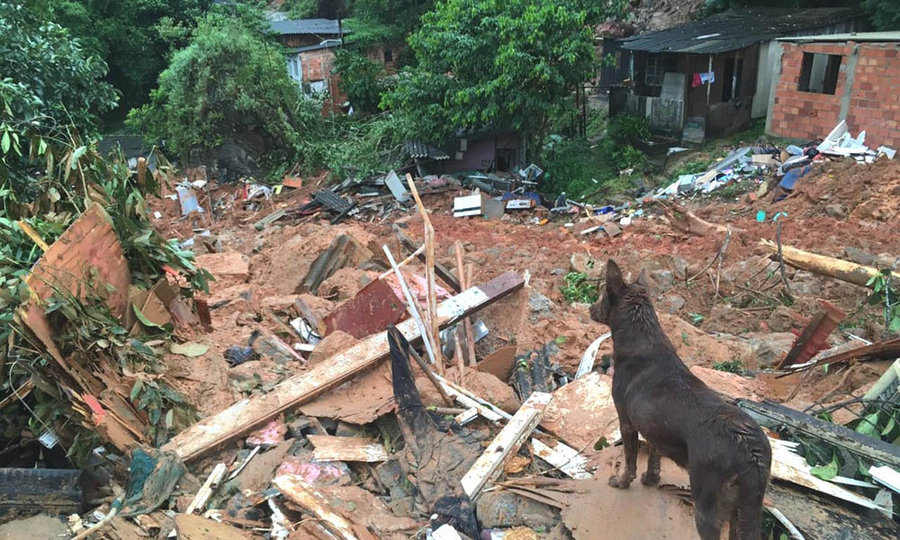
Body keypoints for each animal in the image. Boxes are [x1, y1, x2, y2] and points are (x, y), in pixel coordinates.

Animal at [592, 260, 772, 536]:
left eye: (602, 295)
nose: (589, 308)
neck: (642, 340)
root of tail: (751, 453)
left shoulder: (627, 422)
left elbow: (630, 461)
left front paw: (622, 481)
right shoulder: (653, 427)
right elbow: (654, 457)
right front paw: (651, 480)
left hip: (708, 505)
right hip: (745, 510)